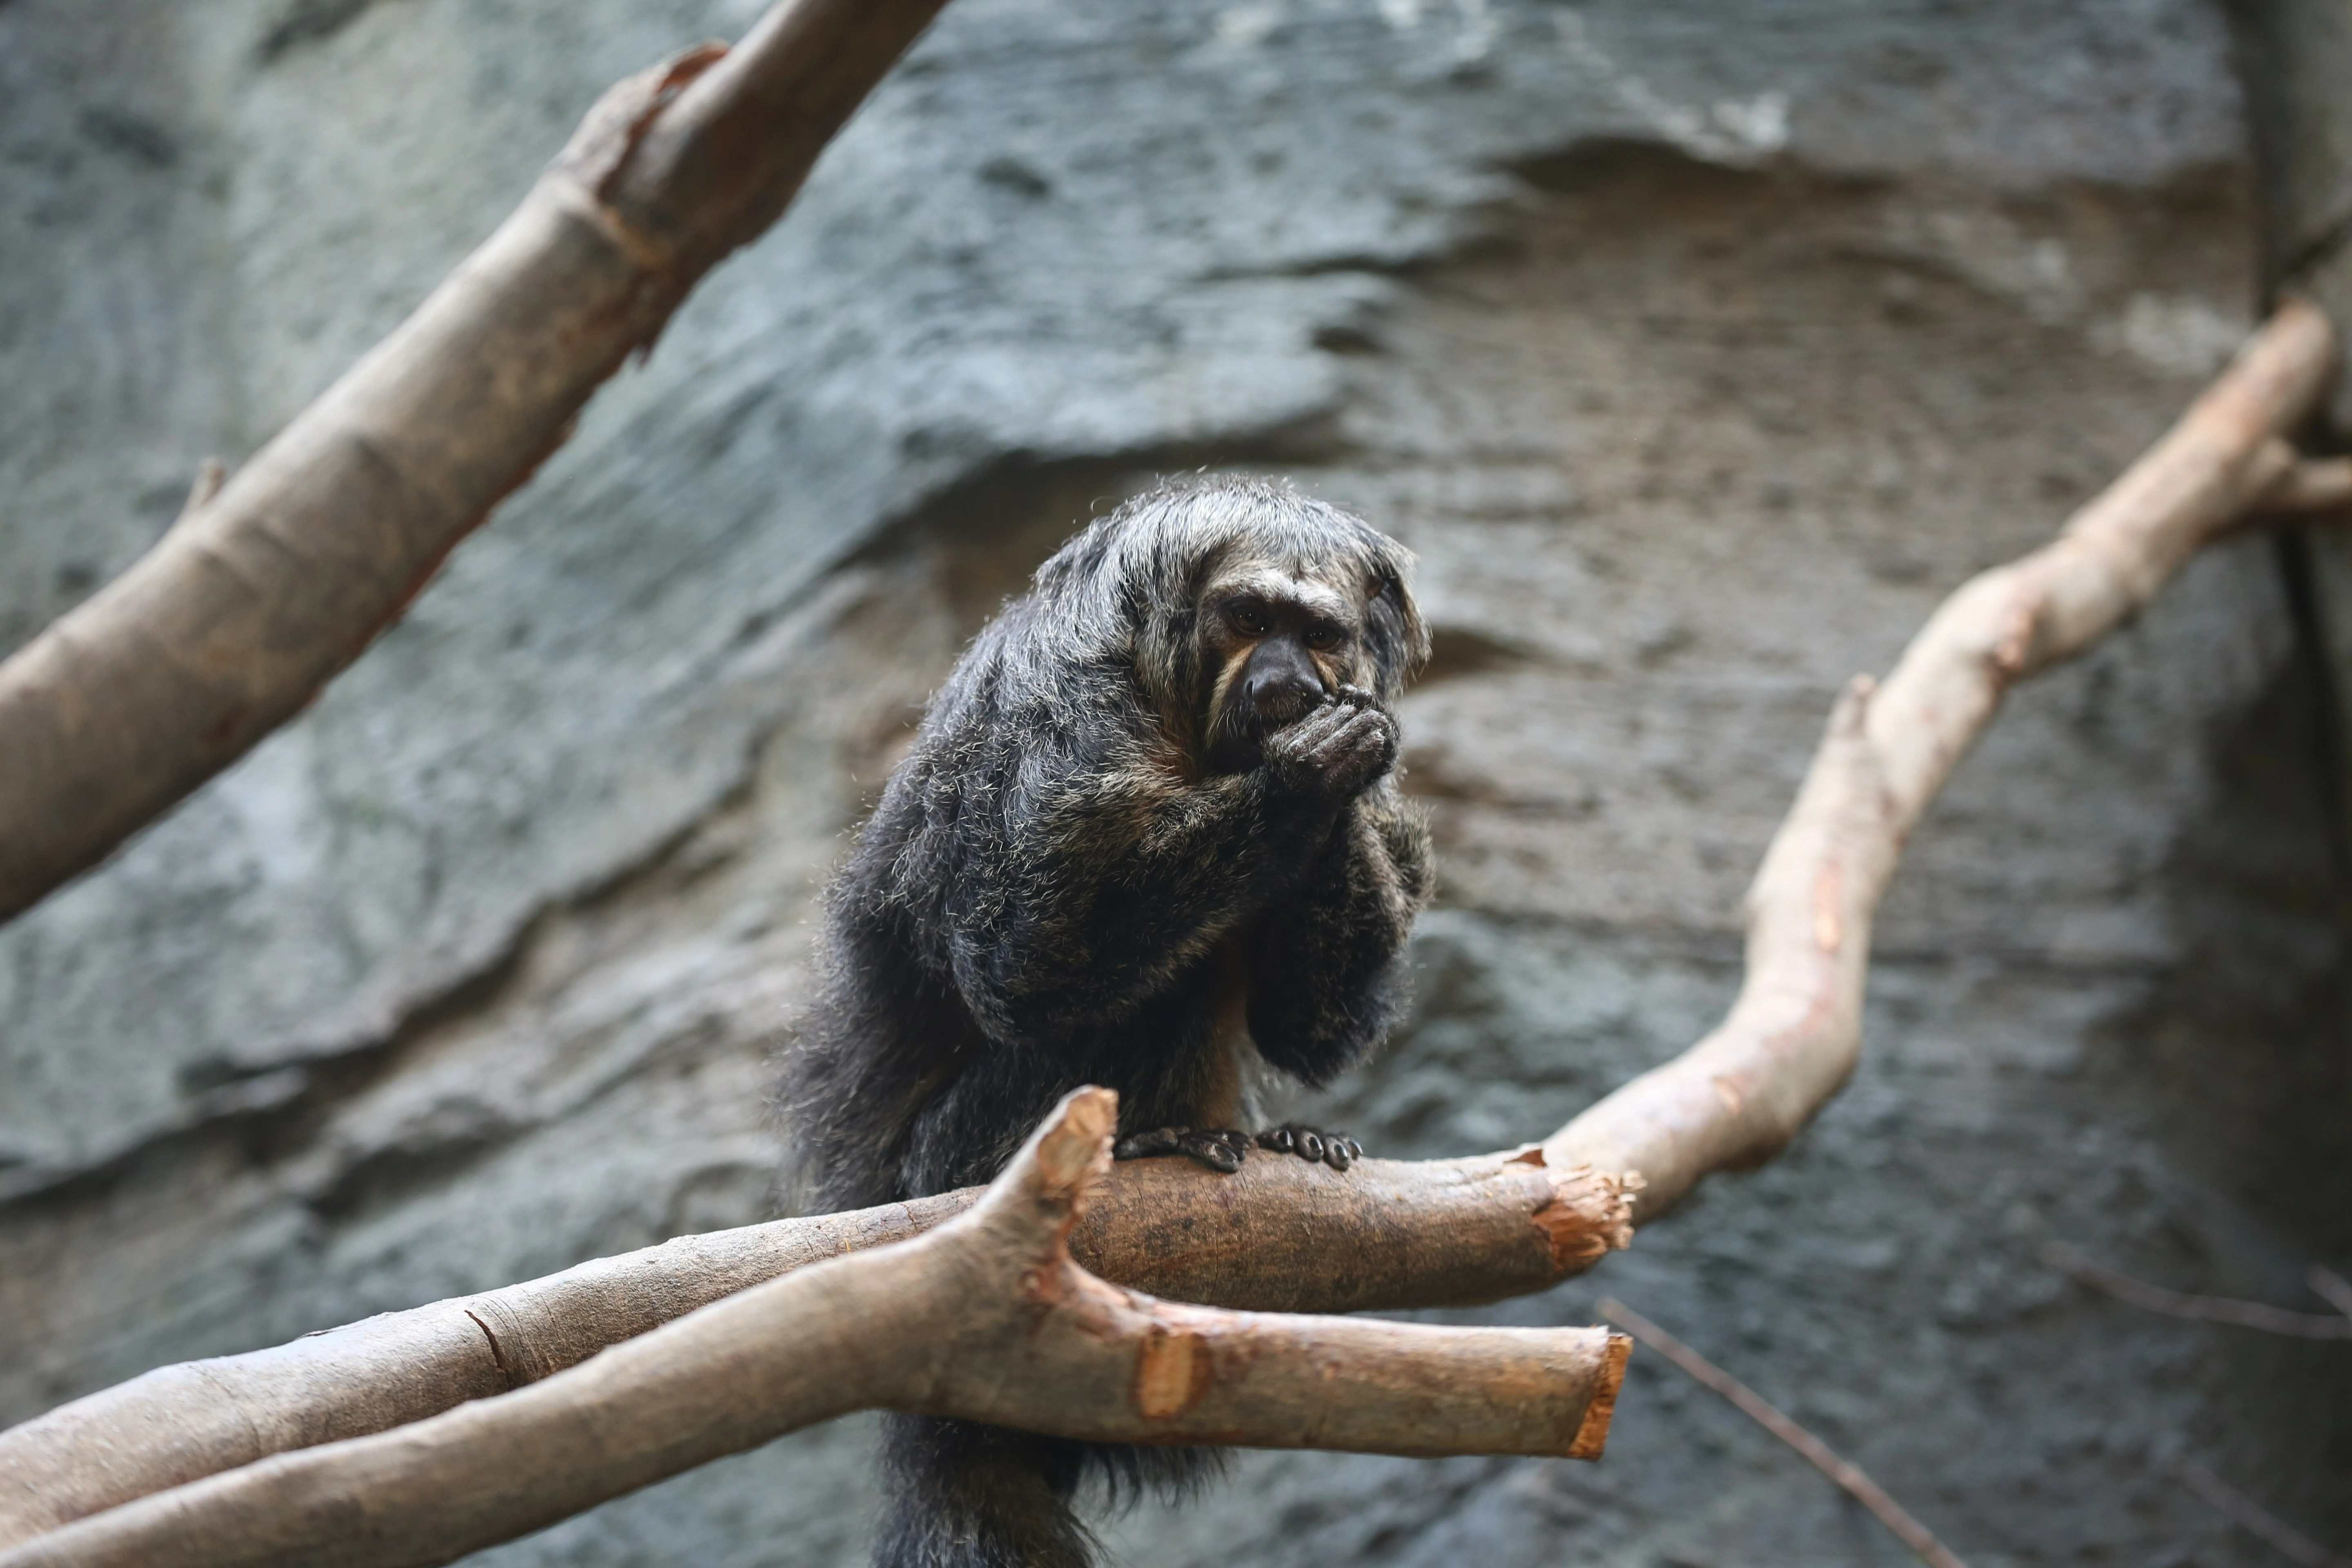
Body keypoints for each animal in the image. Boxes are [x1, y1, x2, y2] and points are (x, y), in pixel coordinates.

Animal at [776, 474, 1430, 1568]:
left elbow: (1308, 1031)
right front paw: (1304, 777)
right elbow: (1027, 960)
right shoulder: (1066, 710)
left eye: (1317, 633)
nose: (1287, 678)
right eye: (1248, 620)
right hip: (946, 1169)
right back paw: (1142, 1143)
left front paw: (1331, 769)